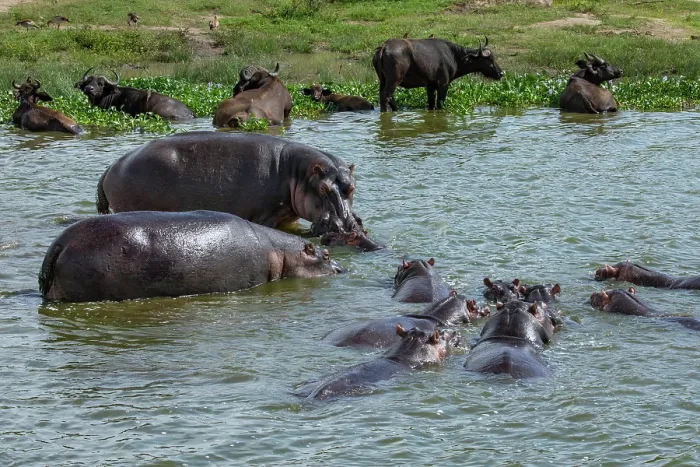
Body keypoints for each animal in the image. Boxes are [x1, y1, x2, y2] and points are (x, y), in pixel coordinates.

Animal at [96, 131, 365, 237]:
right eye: (322, 188)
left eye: (352, 187)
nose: (345, 226)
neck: (296, 173)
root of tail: (111, 167)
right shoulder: (266, 215)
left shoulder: (288, 217)